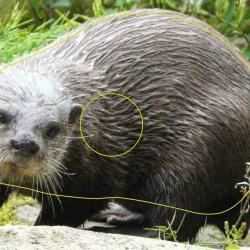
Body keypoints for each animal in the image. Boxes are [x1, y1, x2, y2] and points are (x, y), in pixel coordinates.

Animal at [0, 8, 250, 241]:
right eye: (2, 116)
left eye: (53, 129)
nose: (25, 144)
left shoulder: (92, 174)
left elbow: (66, 214)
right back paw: (119, 214)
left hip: (200, 149)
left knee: (176, 220)